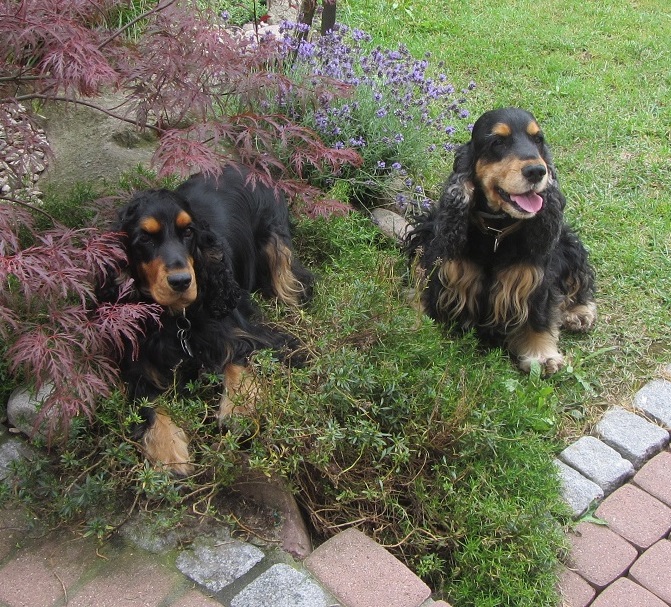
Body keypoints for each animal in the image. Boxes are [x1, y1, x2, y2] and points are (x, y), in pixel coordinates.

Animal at [100, 164, 313, 475]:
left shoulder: (249, 333)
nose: (181, 281)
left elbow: (238, 356)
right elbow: (147, 402)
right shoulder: (136, 364)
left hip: (277, 245)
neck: (179, 320)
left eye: (188, 232)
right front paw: (167, 450)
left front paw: (240, 409)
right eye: (145, 239)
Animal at [406, 107, 596, 375]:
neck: (496, 230)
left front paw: (541, 356)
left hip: (568, 242)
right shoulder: (441, 268)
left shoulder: (535, 277)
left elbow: (539, 312)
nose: (537, 171)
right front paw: (418, 329)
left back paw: (579, 312)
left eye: (538, 140)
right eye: (498, 142)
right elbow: (427, 299)